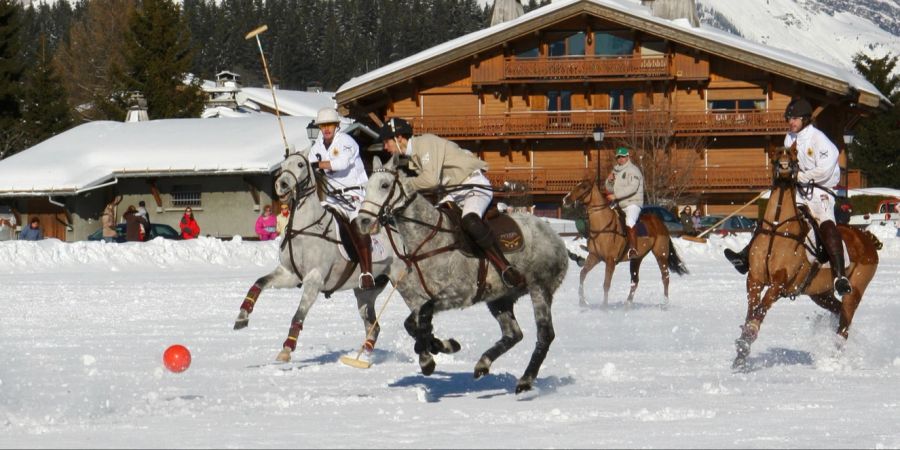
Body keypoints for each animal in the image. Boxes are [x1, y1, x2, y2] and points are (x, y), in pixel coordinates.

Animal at [234, 149, 402, 364]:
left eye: (300, 164)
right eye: (282, 166)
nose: (282, 185)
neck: (304, 227)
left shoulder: (314, 279)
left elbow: (298, 315)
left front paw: (286, 349)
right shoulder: (289, 274)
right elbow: (259, 283)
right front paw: (242, 317)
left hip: (400, 277)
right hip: (366, 292)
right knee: (373, 326)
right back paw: (363, 356)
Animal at [354, 156, 568, 394]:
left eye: (384, 185)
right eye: (366, 187)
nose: (362, 222)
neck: (428, 239)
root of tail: (556, 237)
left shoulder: (458, 293)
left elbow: (420, 319)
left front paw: (429, 358)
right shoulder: (422, 297)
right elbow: (414, 324)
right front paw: (438, 347)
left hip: (540, 288)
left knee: (545, 334)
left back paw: (525, 380)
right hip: (500, 298)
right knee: (513, 333)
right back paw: (483, 363)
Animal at [564, 178, 688, 308]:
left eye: (584, 187)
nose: (565, 199)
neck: (603, 225)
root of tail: (661, 224)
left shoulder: (610, 261)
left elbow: (606, 284)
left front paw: (604, 306)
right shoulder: (594, 256)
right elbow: (582, 274)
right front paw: (582, 301)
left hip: (661, 255)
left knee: (665, 277)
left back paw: (665, 303)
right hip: (636, 258)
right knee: (635, 281)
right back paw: (628, 303)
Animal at [732, 148, 880, 370]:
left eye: (793, 157)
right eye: (775, 155)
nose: (784, 165)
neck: (778, 227)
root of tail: (867, 238)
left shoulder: (779, 282)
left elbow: (761, 309)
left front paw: (748, 337)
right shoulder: (754, 279)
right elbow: (752, 308)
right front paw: (741, 352)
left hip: (856, 288)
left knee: (845, 323)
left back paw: (834, 359)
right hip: (820, 293)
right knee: (839, 312)